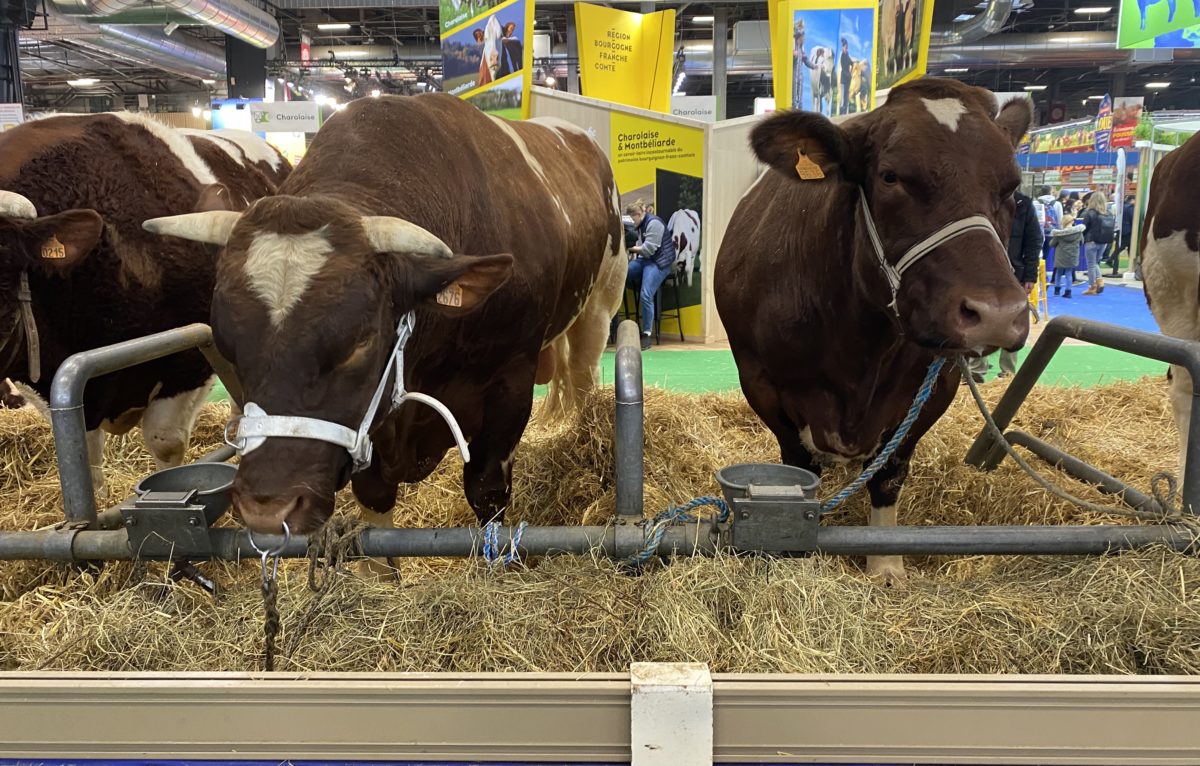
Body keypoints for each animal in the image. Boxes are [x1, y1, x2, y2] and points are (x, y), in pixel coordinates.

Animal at [145, 93, 624, 537]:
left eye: (360, 343)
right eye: (227, 345)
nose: (268, 508)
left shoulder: (510, 385)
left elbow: (486, 490)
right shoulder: (370, 428)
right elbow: (375, 503)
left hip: (601, 303)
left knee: (583, 375)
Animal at [710, 78, 1032, 585]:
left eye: (1013, 187)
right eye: (890, 176)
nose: (997, 313)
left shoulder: (933, 389)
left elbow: (888, 474)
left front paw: (885, 566)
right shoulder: (762, 384)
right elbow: (798, 470)